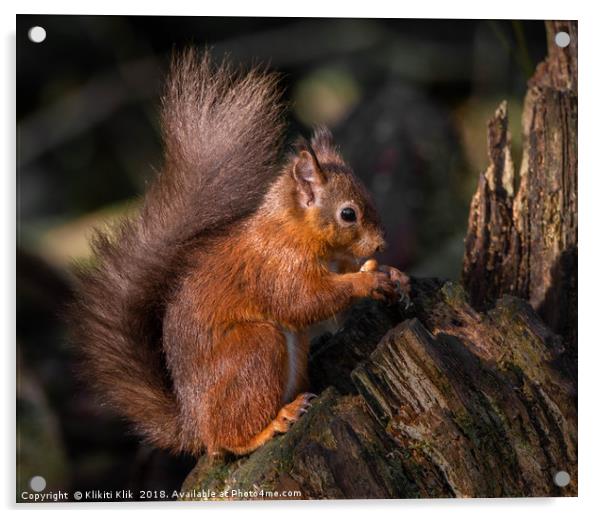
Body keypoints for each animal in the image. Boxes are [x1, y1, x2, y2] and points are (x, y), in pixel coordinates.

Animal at [71, 50, 408, 462]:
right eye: (348, 214)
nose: (380, 245)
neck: (292, 229)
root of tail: (193, 424)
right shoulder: (275, 265)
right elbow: (303, 301)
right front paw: (367, 280)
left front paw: (393, 275)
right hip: (253, 350)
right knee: (225, 442)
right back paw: (271, 425)